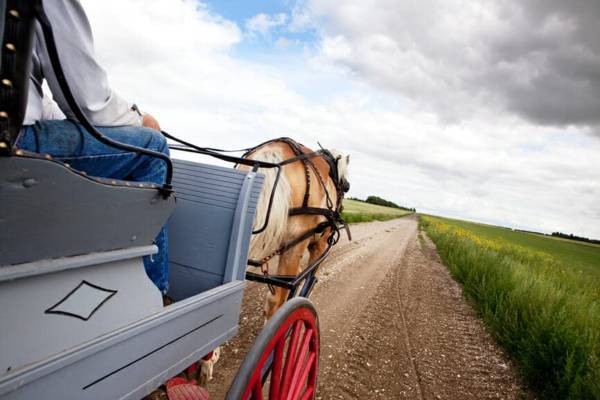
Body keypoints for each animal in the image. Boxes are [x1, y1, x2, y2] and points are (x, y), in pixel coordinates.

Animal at [240, 138, 350, 318]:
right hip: (294, 244)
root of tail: (273, 150)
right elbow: (309, 279)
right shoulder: (319, 245)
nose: (347, 185)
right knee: (277, 298)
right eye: (346, 187)